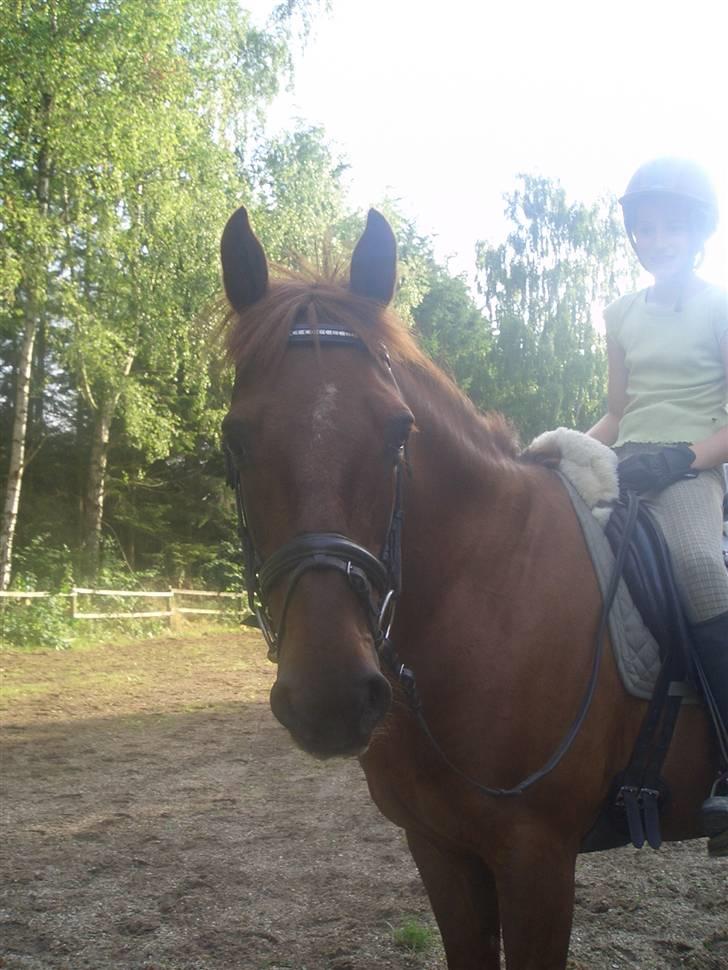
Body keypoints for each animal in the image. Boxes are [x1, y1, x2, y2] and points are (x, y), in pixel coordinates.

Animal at [219, 206, 717, 970]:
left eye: (398, 431)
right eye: (235, 439)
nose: (331, 698)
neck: (483, 597)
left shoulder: (537, 857)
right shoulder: (439, 849)